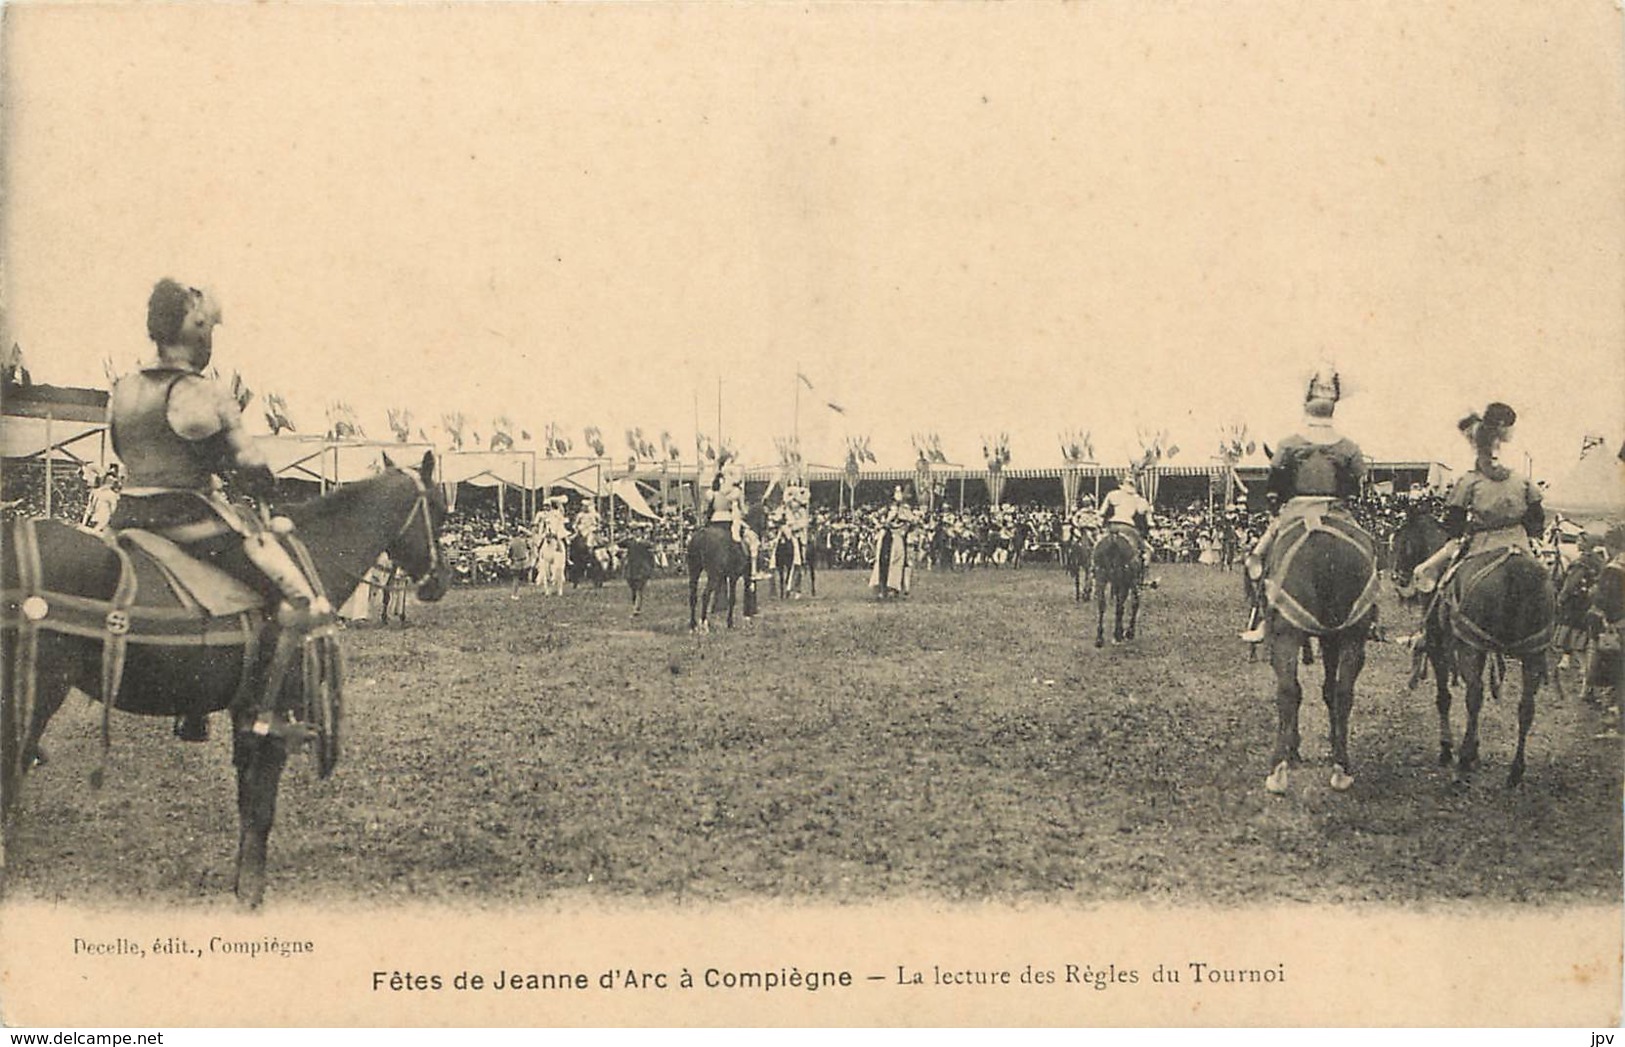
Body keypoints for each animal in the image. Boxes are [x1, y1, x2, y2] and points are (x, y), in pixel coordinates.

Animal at [1, 455, 451, 903]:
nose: (440, 581)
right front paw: (252, 891)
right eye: (439, 511)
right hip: (37, 694)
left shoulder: (246, 710)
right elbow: (261, 805)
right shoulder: (274, 711)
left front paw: (241, 881)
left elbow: (247, 800)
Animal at [1248, 503, 1378, 793]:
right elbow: (1329, 690)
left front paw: (1293, 749)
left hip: (1285, 637)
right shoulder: (1331, 638)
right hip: (1351, 636)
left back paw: (1278, 770)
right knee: (1343, 692)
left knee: (1287, 692)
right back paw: (1341, 767)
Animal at [1430, 549, 1553, 786]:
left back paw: (1463, 761)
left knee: (1474, 696)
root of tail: (1516, 570)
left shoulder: (1439, 646)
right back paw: (1516, 770)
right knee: (1526, 708)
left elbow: (1444, 698)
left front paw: (1447, 750)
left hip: (1471, 647)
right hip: (1533, 654)